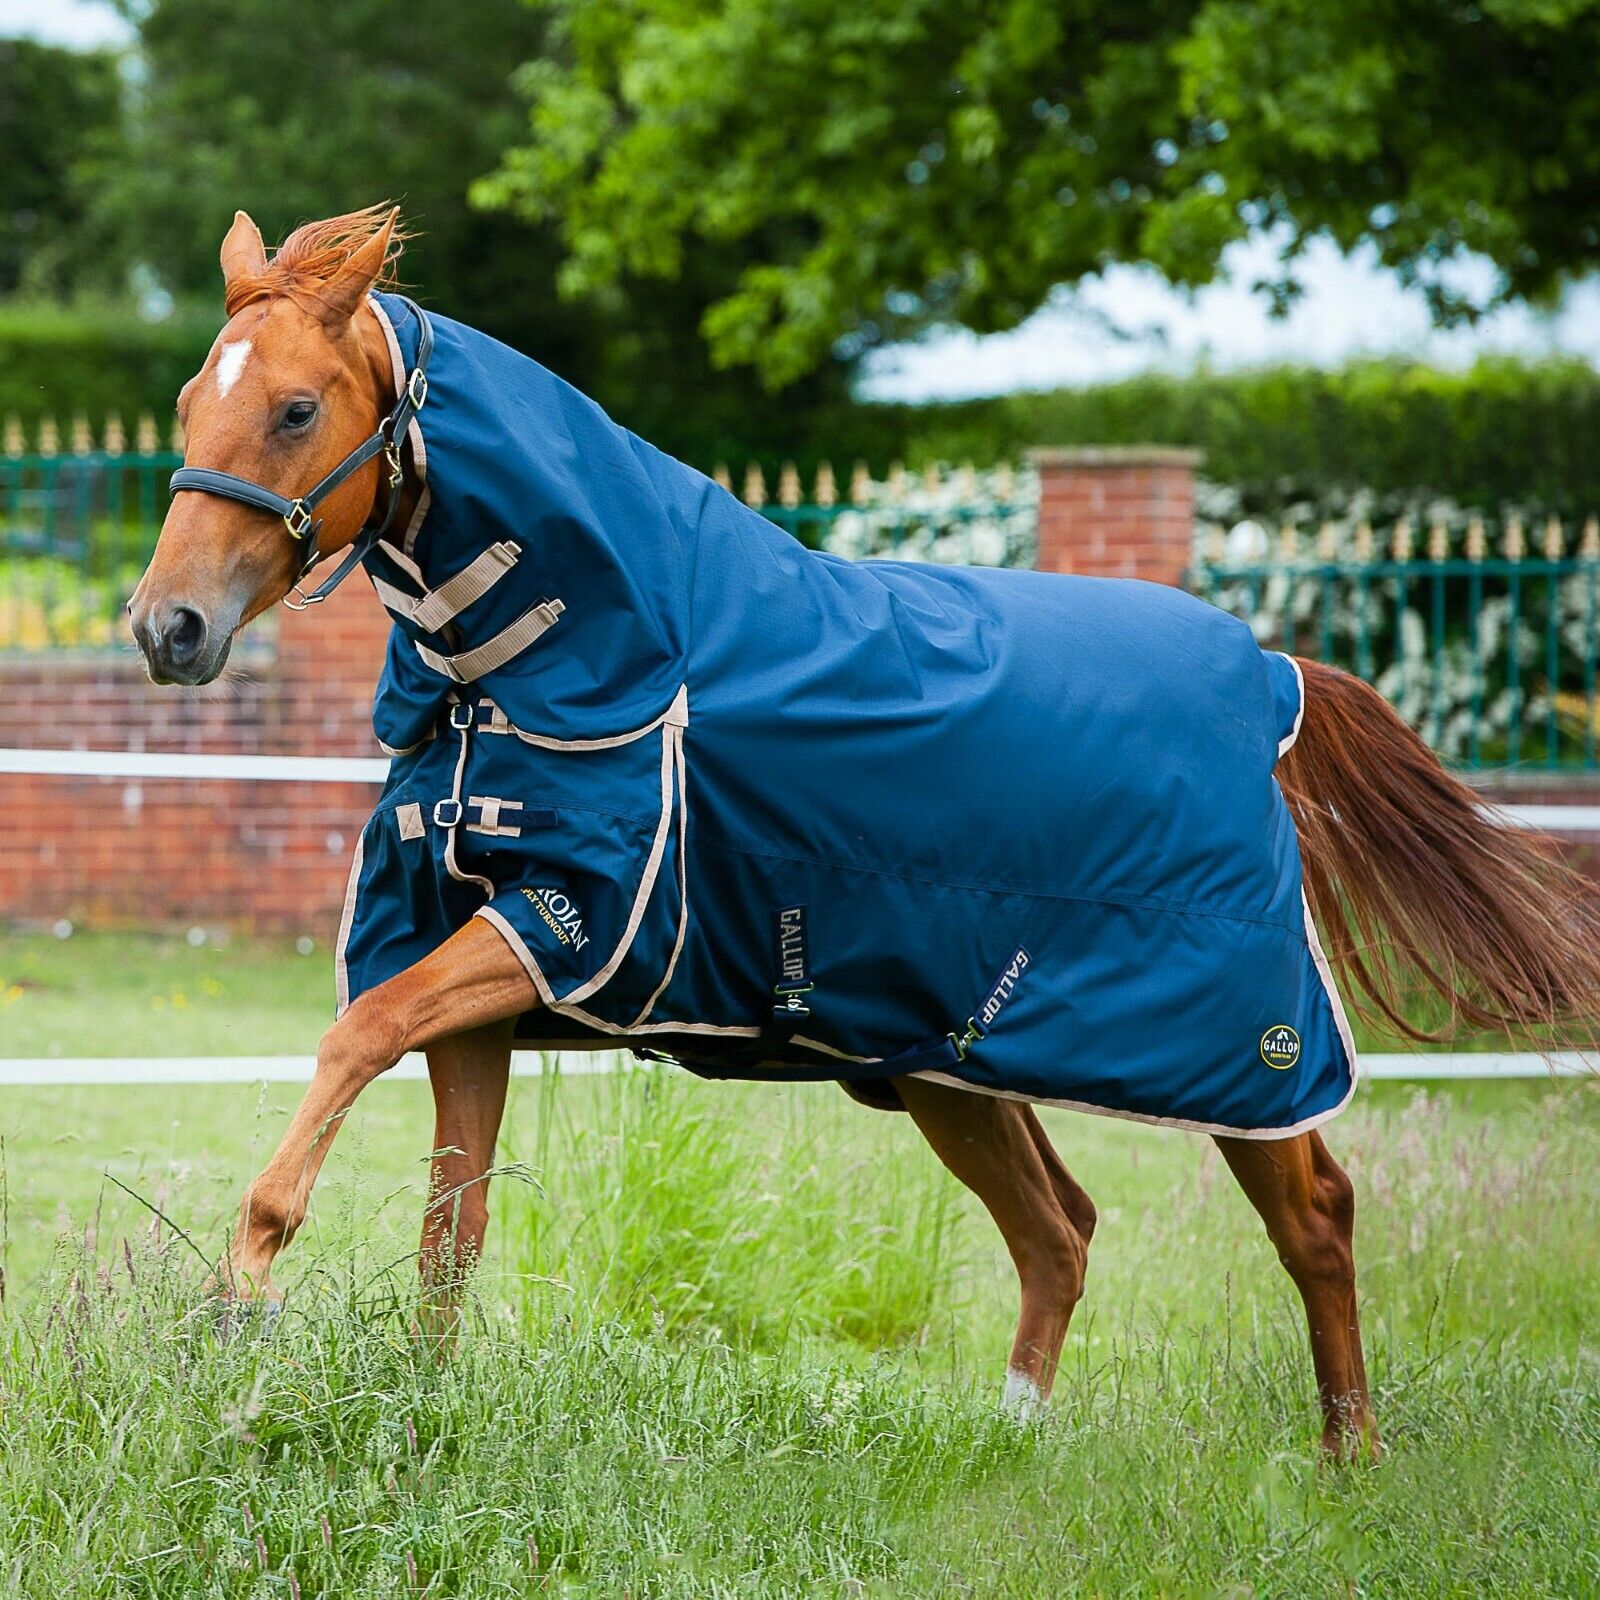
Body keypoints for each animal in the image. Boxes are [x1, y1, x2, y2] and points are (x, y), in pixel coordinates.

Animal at [128, 205, 1600, 1460]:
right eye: (195, 403)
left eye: (297, 407)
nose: (165, 628)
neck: (567, 657)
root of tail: (1271, 676)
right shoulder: (485, 979)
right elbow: (454, 1222)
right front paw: (416, 1410)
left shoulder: (564, 927)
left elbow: (355, 1042)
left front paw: (240, 1294)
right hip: (947, 1062)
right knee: (1060, 1231)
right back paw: (1012, 1446)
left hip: (1242, 1055)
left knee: (1315, 1218)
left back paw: (1349, 1461)